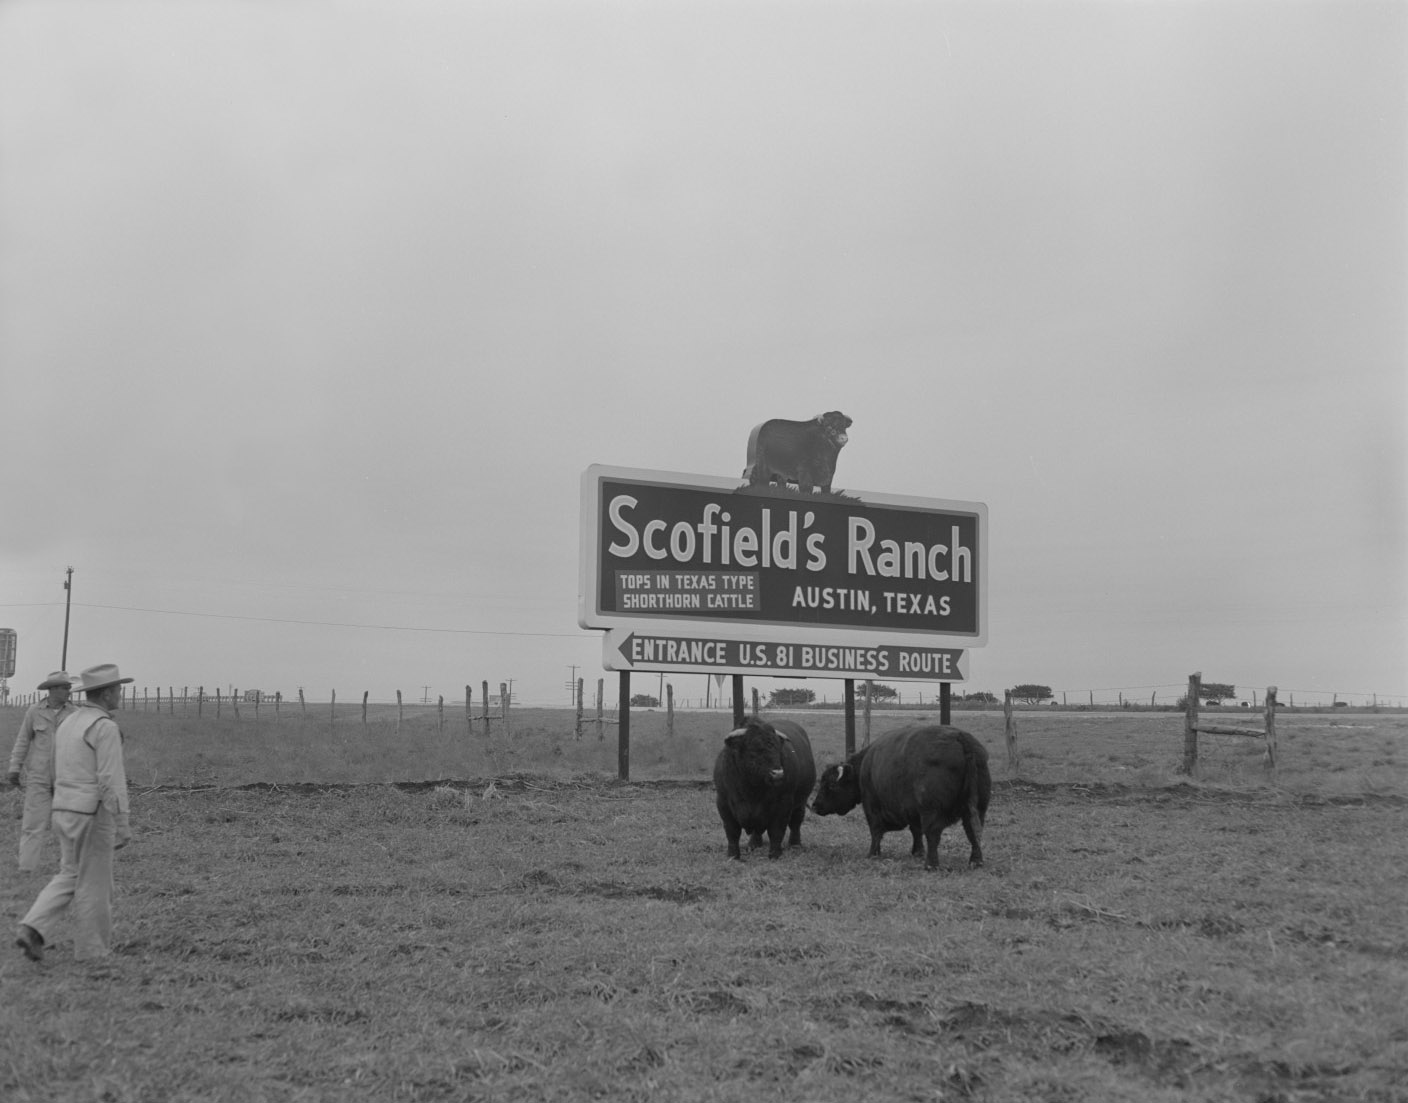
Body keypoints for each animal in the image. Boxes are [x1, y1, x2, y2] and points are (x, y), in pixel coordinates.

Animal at [709, 715, 822, 862]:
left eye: (777, 749)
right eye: (754, 749)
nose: (778, 773)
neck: (751, 790)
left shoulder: (783, 804)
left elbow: (776, 830)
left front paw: (775, 854)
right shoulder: (723, 803)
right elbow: (732, 831)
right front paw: (733, 855)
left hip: (801, 802)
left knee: (796, 822)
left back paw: (795, 844)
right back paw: (753, 844)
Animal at [811, 726, 996, 873]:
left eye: (830, 785)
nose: (815, 806)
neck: (864, 766)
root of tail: (961, 738)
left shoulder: (872, 806)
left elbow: (876, 831)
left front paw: (872, 854)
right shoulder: (912, 811)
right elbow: (916, 831)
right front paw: (917, 852)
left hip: (932, 811)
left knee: (934, 834)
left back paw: (931, 865)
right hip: (978, 809)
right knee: (973, 832)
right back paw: (976, 862)